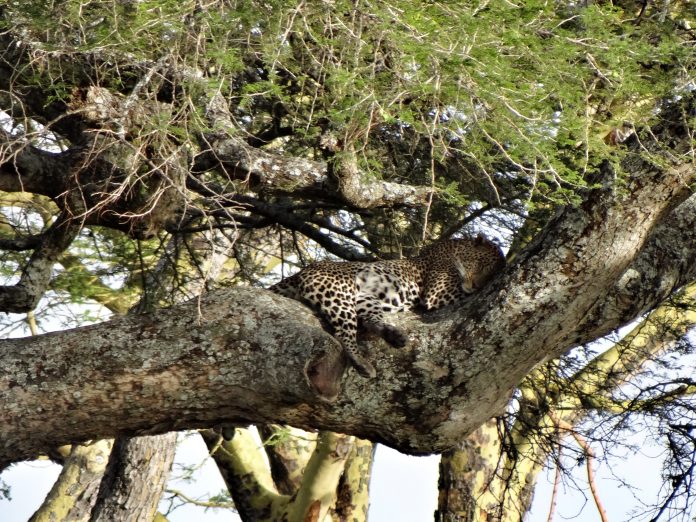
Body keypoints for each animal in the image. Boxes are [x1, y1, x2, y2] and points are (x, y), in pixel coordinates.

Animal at [272, 234, 506, 376]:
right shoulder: (438, 291)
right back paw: (362, 363)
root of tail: (303, 271)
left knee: (370, 321)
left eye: (491, 274)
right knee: (343, 333)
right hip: (340, 295)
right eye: (482, 264)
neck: (456, 249)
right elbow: (456, 292)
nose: (476, 286)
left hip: (365, 300)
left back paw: (395, 337)